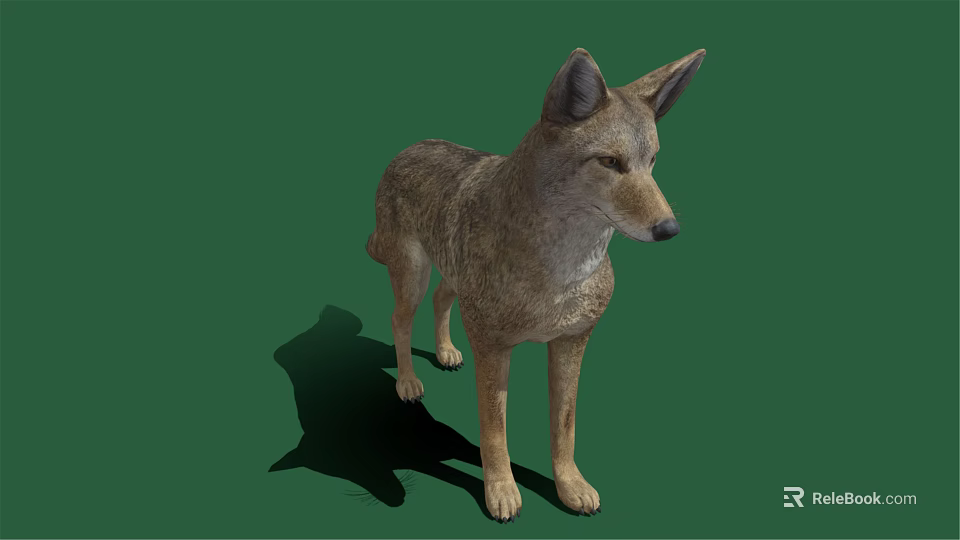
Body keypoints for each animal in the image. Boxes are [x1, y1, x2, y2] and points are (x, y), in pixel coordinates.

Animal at [366, 48, 706, 522]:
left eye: (652, 160)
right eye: (610, 162)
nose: (669, 229)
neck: (563, 272)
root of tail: (410, 146)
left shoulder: (571, 343)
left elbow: (565, 428)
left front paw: (569, 486)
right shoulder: (493, 348)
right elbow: (494, 433)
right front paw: (501, 492)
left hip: (451, 276)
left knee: (440, 300)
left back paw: (446, 352)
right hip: (412, 276)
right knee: (399, 320)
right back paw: (408, 382)